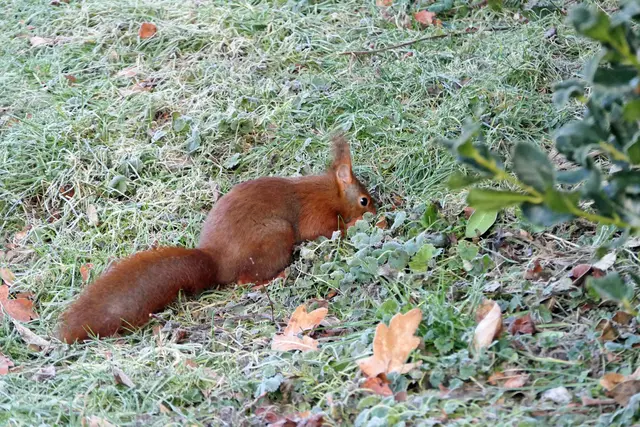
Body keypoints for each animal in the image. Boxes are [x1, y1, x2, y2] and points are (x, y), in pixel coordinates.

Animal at [56, 136, 376, 343]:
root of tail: (216, 262)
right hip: (275, 237)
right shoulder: (316, 213)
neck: (330, 191)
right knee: (246, 280)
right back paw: (276, 277)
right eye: (364, 200)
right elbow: (325, 230)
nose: (376, 210)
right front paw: (355, 224)